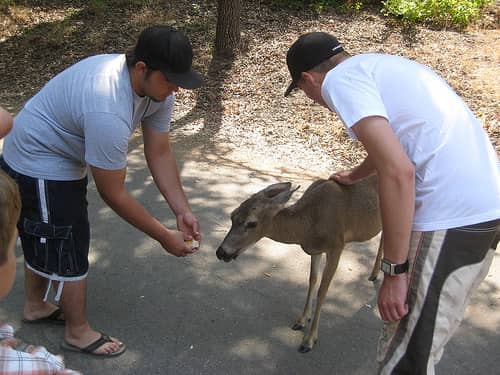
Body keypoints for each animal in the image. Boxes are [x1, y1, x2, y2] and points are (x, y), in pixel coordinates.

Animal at [215, 175, 382, 354]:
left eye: (252, 223)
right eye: (232, 216)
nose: (221, 252)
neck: (308, 225)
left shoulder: (336, 246)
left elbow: (323, 291)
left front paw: (309, 340)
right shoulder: (316, 250)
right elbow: (312, 280)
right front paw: (301, 320)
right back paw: (374, 273)